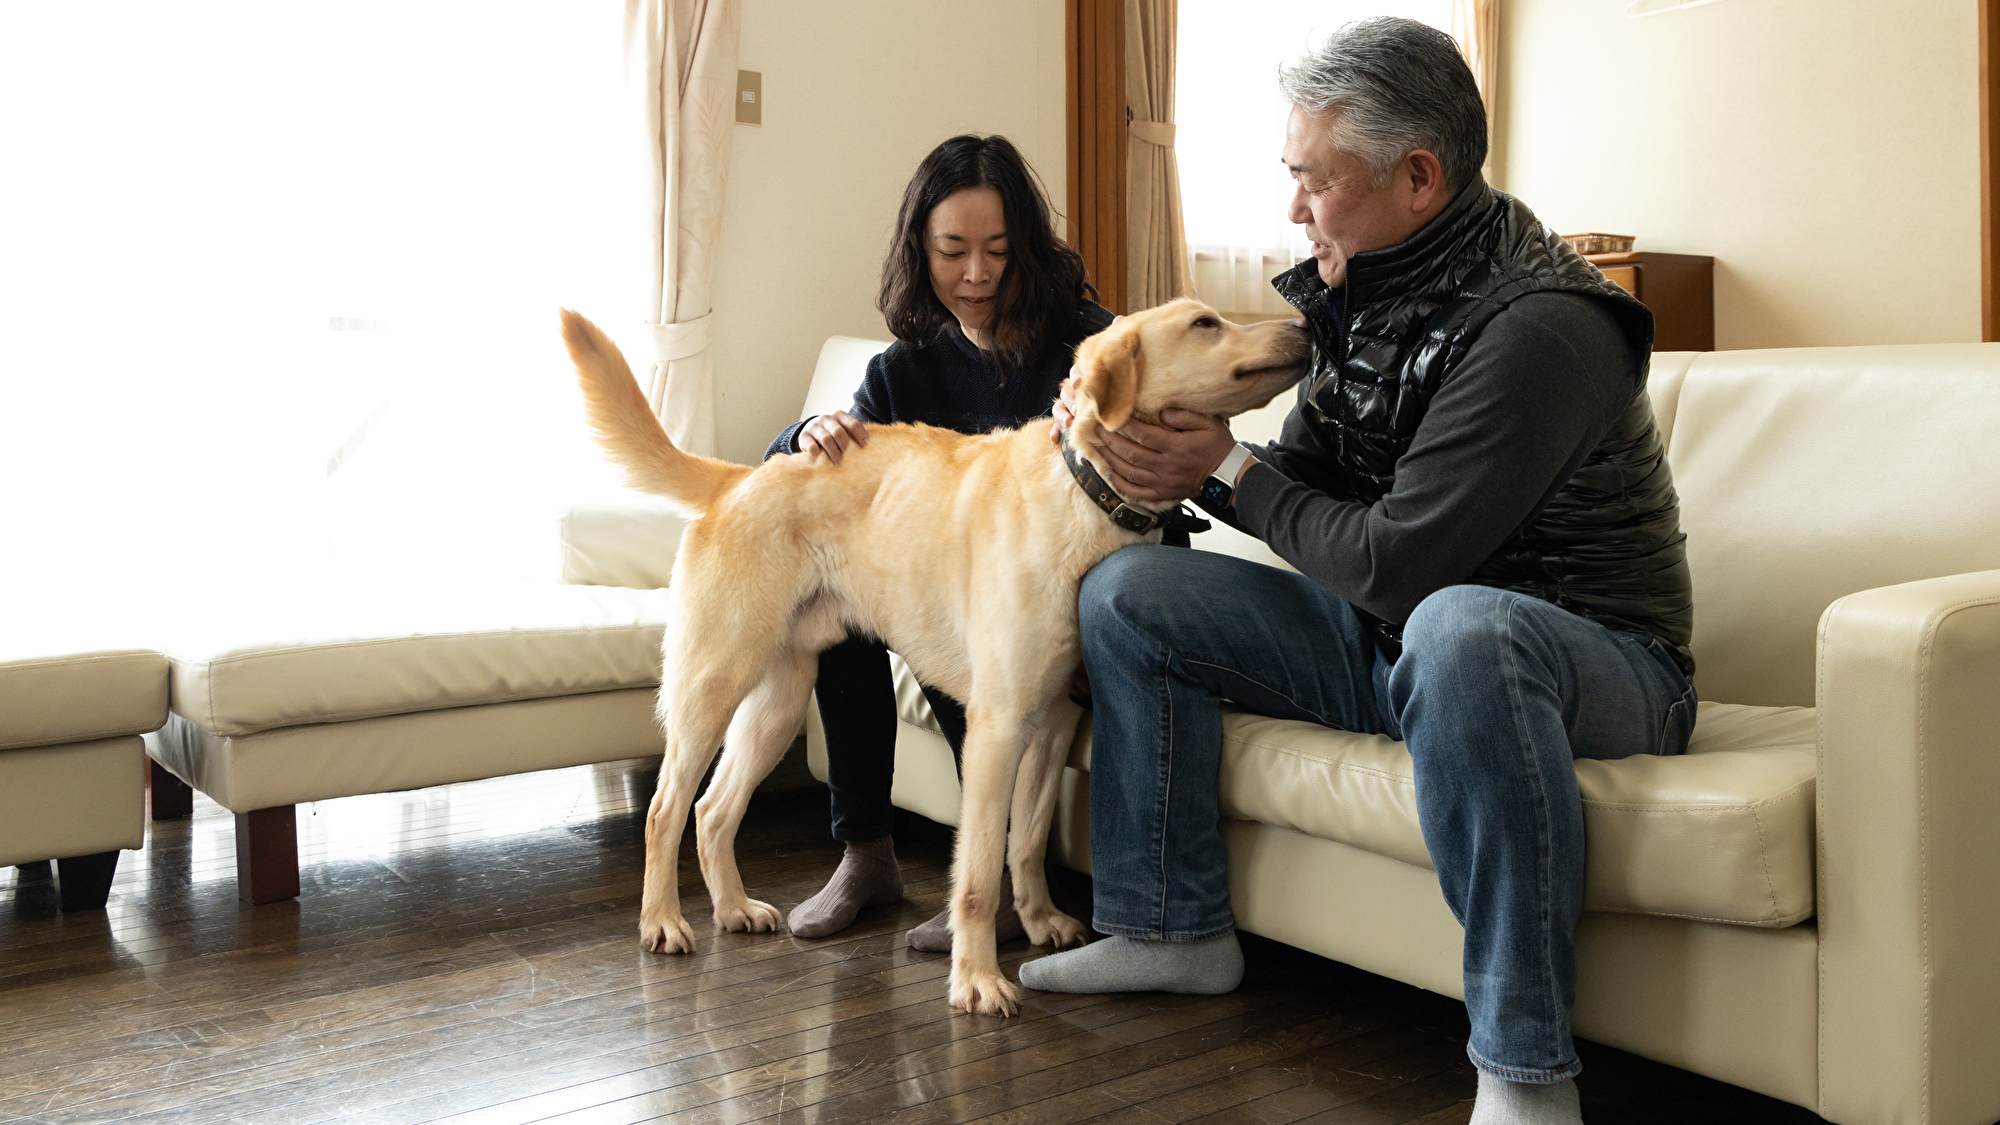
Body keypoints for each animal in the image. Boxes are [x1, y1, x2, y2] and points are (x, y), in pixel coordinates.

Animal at [564, 300, 1312, 1016]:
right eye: (1205, 323)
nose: (1305, 327)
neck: (1087, 494)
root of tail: (740, 478)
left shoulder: (1052, 723)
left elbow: (1027, 842)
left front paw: (1038, 920)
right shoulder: (998, 728)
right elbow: (977, 873)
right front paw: (976, 980)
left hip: (776, 705)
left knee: (713, 811)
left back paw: (731, 909)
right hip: (713, 686)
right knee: (665, 809)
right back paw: (662, 922)